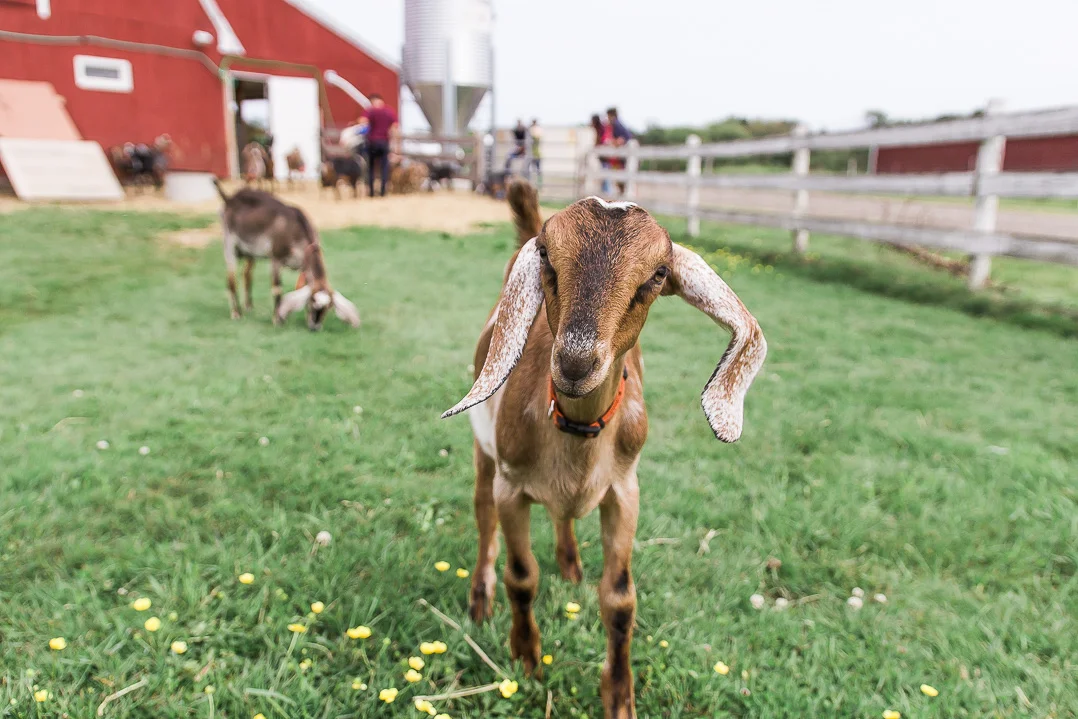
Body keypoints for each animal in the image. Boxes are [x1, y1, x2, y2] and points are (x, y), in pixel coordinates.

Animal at [214, 179, 360, 330]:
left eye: (328, 307)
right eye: (312, 301)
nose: (315, 327)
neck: (296, 229)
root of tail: (229, 199)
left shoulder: (303, 265)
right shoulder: (276, 259)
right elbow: (277, 289)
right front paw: (277, 319)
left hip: (250, 252)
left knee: (247, 274)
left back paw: (249, 307)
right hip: (229, 244)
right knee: (231, 279)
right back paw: (236, 313)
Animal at [441, 181, 767, 719]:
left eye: (658, 274)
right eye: (547, 255)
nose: (575, 362)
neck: (576, 431)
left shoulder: (625, 490)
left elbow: (619, 598)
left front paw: (619, 695)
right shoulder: (513, 487)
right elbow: (522, 576)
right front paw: (527, 657)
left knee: (563, 518)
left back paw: (571, 564)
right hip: (484, 456)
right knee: (483, 514)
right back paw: (480, 598)